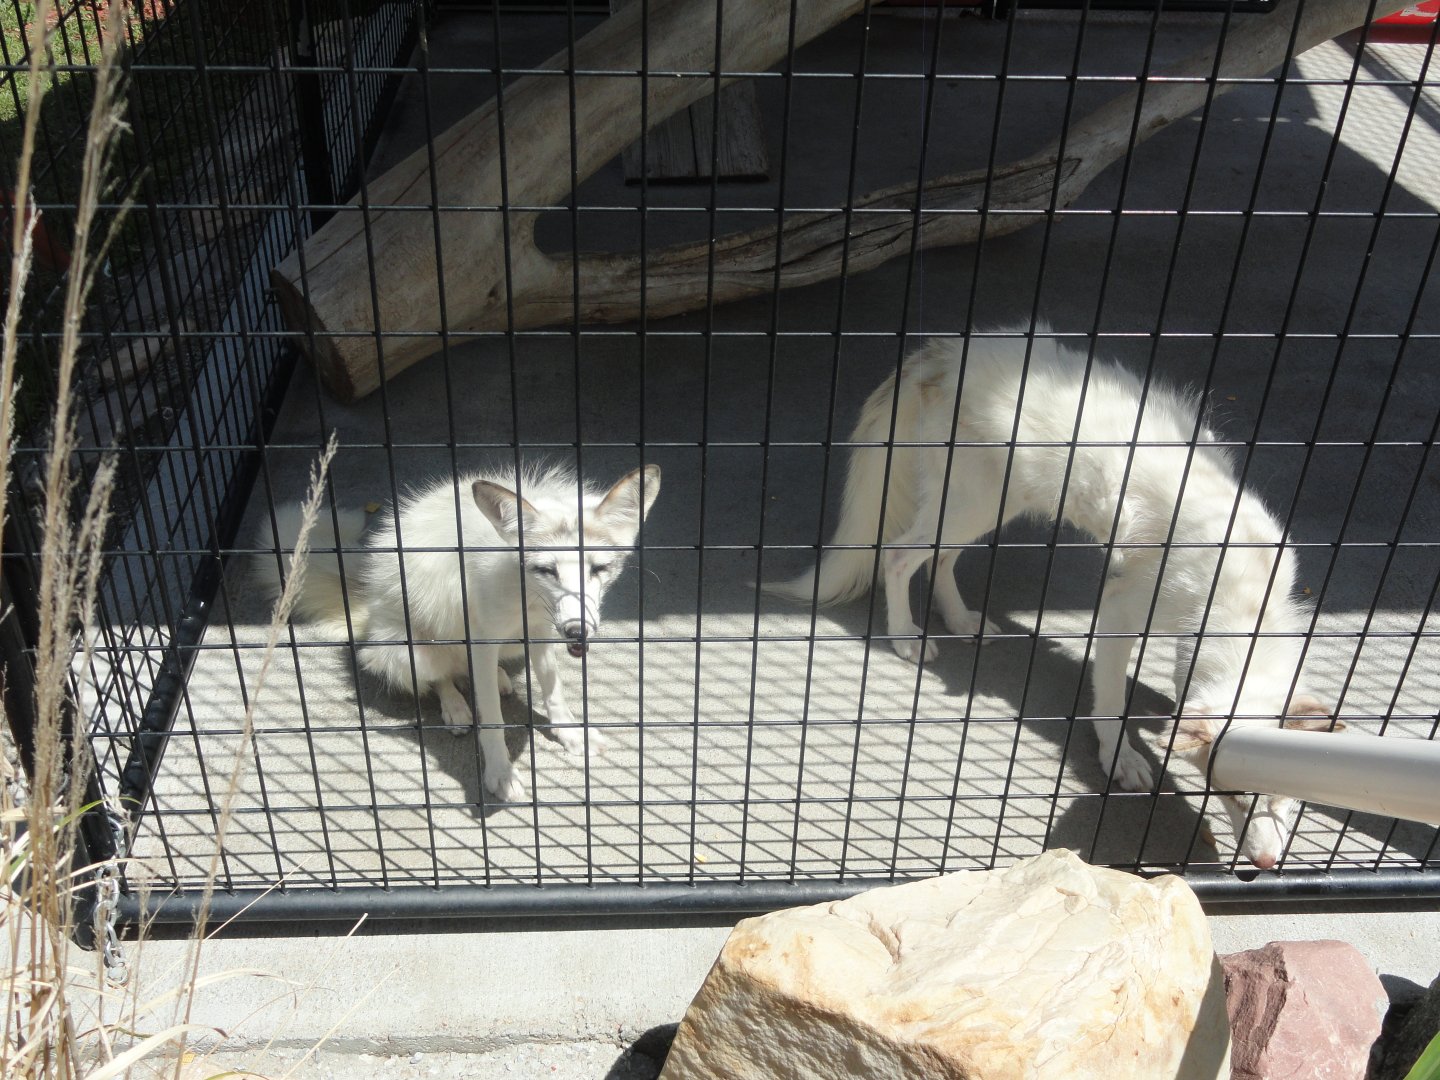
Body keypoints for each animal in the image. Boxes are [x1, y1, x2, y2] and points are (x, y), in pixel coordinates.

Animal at [256, 462, 661, 804]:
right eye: (547, 570)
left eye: (599, 569)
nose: (578, 631)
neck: (524, 596)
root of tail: (368, 612)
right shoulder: (483, 637)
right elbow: (493, 720)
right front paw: (501, 774)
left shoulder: (541, 632)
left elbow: (553, 692)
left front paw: (571, 734)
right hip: (412, 650)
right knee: (440, 676)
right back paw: (455, 706)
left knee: (468, 670)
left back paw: (494, 678)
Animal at [767, 331, 1343, 868]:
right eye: (1234, 794)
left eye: (1290, 797)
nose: (1266, 863)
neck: (1244, 598)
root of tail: (944, 351)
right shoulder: (1119, 610)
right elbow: (1110, 702)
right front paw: (1120, 759)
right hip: (977, 502)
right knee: (898, 555)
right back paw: (906, 637)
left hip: (992, 503)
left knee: (940, 559)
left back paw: (959, 619)